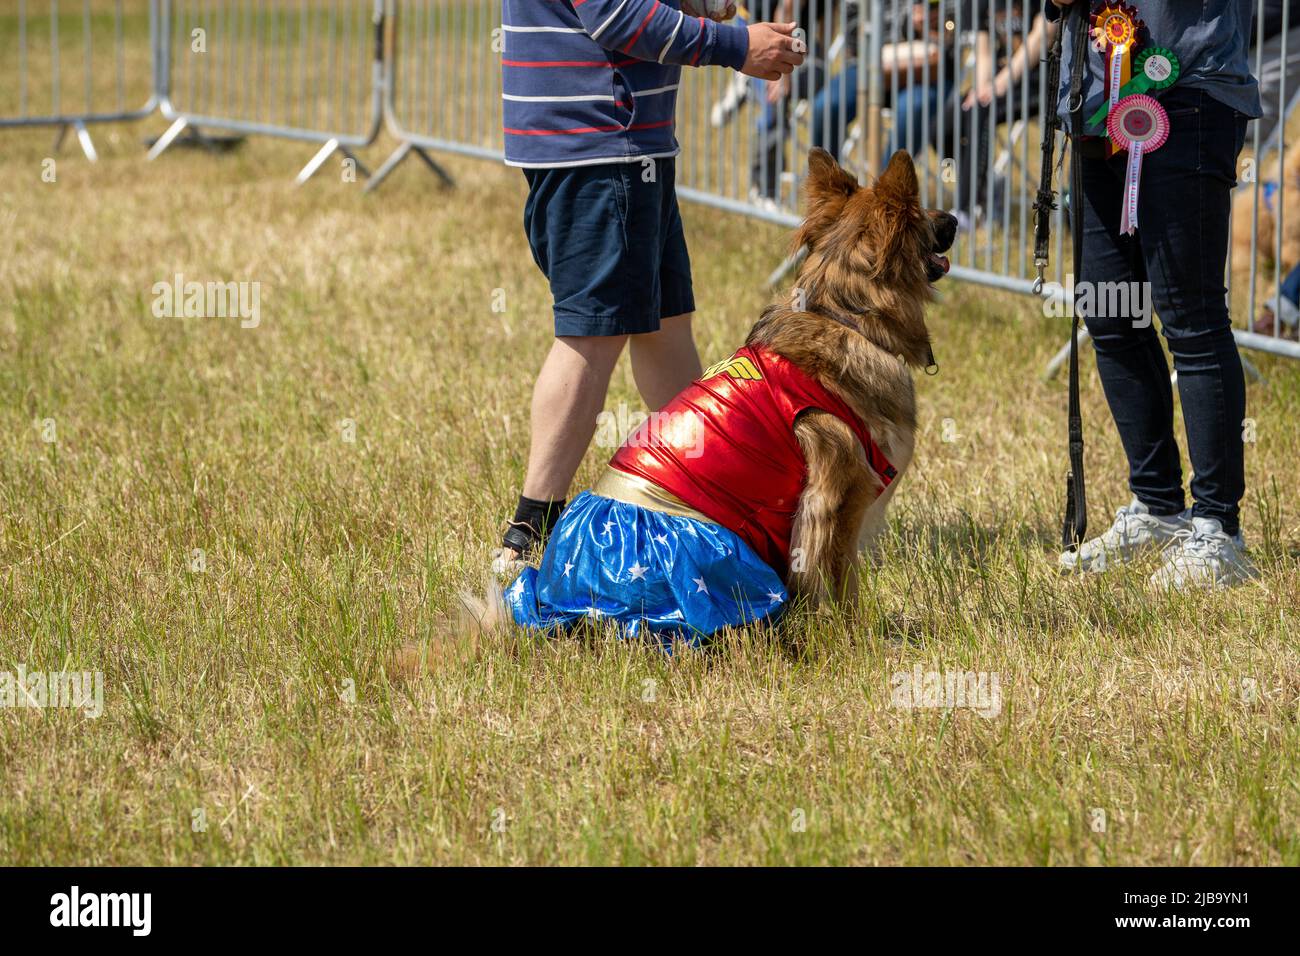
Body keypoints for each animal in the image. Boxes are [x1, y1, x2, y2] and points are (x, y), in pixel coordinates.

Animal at [395, 151, 956, 665]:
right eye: (924, 213)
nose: (954, 219)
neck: (843, 312)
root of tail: (555, 607)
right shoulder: (838, 500)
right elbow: (842, 587)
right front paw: (858, 644)